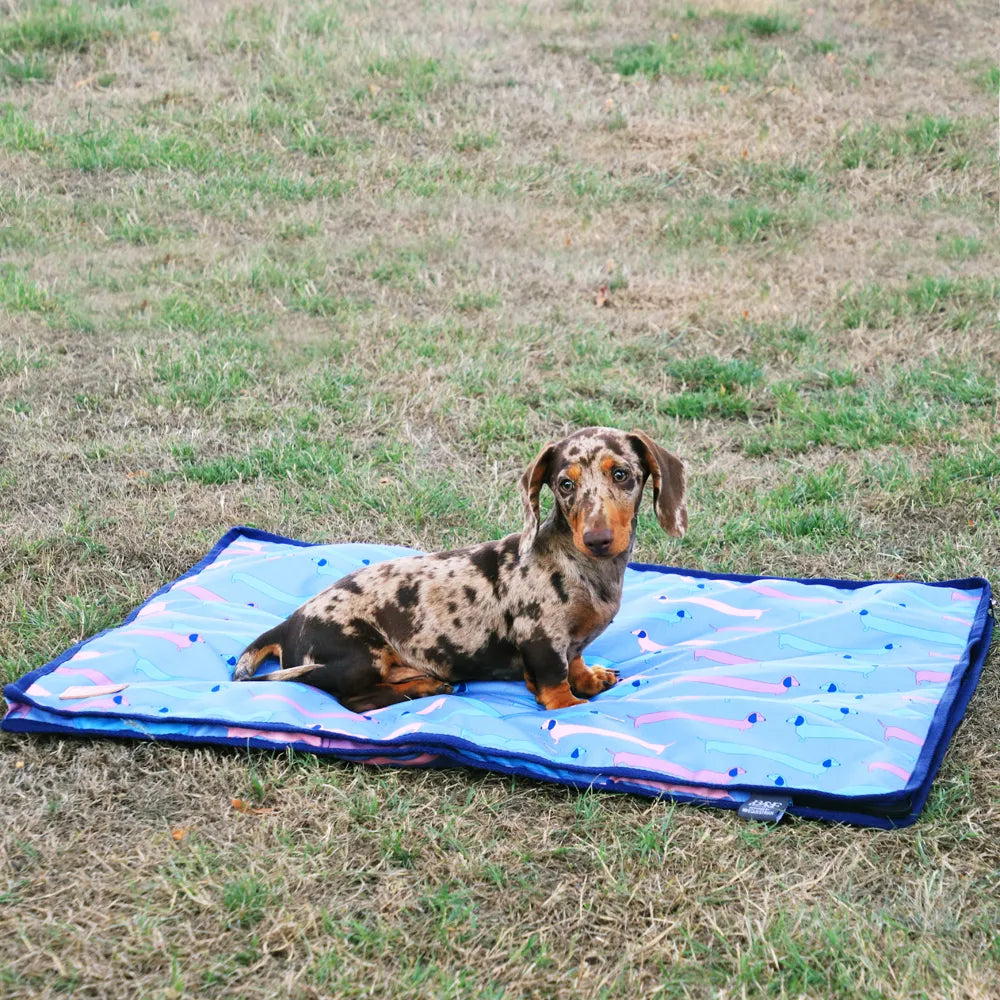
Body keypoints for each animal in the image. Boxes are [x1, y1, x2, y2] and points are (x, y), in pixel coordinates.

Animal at [234, 426, 688, 716]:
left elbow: (574, 662)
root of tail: (286, 625)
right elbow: (555, 683)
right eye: (565, 485)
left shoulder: (570, 641)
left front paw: (590, 678)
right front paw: (572, 707)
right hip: (359, 657)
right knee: (355, 700)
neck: (585, 569)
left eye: (622, 474)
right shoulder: (542, 640)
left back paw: (427, 684)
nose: (597, 539)